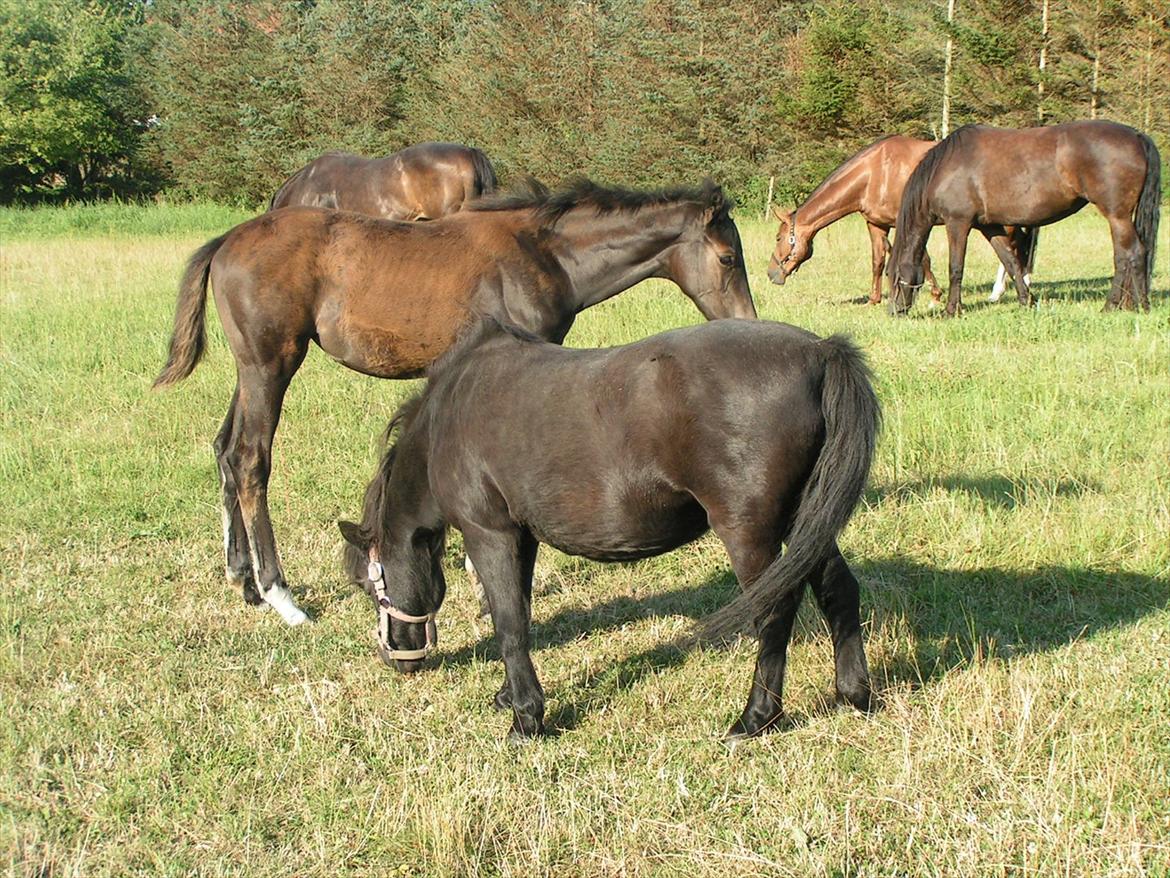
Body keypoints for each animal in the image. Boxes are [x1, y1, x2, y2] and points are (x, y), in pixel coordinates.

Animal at [153, 179, 757, 627]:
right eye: (728, 257)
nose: (747, 323)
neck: (543, 254)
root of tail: (226, 240)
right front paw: (485, 577)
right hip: (271, 365)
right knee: (250, 459)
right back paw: (281, 596)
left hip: (252, 369)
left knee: (224, 449)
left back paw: (242, 579)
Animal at [339, 317, 880, 742]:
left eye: (370, 584)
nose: (397, 658)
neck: (447, 418)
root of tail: (819, 351)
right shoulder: (522, 536)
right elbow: (521, 612)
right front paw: (510, 696)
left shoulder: (489, 534)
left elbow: (508, 623)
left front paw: (526, 720)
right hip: (805, 520)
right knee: (837, 589)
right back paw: (854, 694)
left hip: (751, 533)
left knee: (774, 613)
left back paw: (755, 717)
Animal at [766, 134, 1037, 305]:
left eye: (779, 237)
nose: (771, 274)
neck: (874, 173)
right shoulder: (876, 224)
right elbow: (877, 261)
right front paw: (874, 299)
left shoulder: (904, 221)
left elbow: (923, 259)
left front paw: (934, 296)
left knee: (1016, 249)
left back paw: (1007, 290)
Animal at [888, 121, 1161, 316]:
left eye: (894, 275)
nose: (893, 311)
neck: (946, 168)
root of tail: (1137, 135)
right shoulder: (990, 227)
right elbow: (1011, 263)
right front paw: (1027, 301)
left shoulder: (958, 223)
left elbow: (956, 268)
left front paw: (951, 310)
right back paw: (1134, 304)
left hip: (1117, 216)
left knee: (1129, 255)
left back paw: (1119, 306)